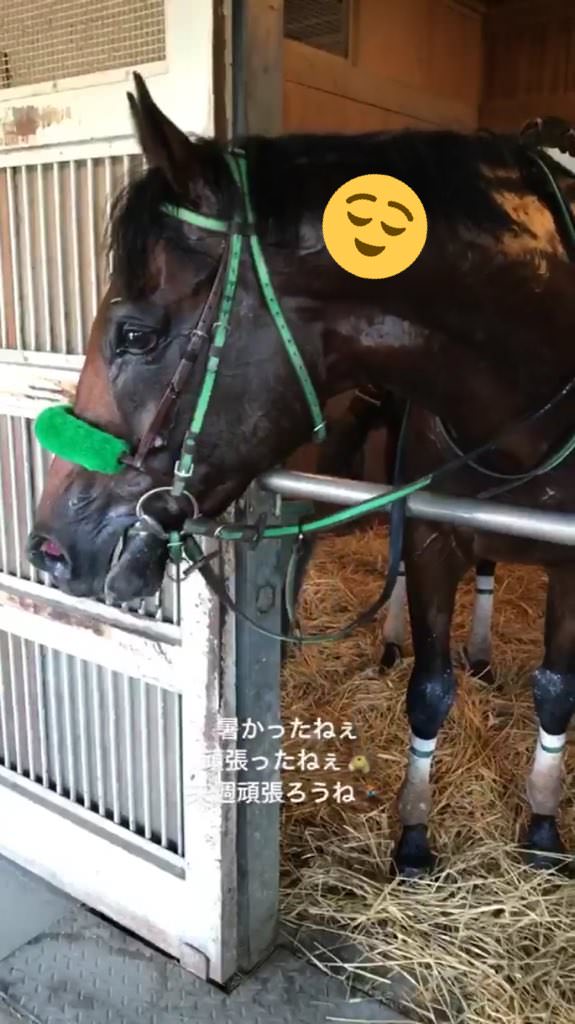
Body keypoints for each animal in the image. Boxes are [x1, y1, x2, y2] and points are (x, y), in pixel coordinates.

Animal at [27, 72, 575, 877]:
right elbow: (429, 688)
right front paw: (415, 835)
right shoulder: (432, 533)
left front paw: (540, 824)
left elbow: (555, 691)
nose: (49, 547)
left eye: (135, 334)